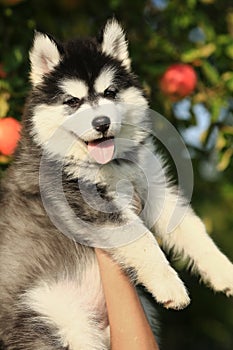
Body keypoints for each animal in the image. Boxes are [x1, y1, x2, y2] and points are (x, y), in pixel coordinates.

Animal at [0, 19, 233, 350]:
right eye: (72, 101)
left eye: (110, 92)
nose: (101, 123)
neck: (109, 164)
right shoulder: (84, 201)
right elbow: (142, 238)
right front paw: (170, 285)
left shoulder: (155, 187)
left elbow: (191, 228)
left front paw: (224, 271)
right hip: (58, 320)